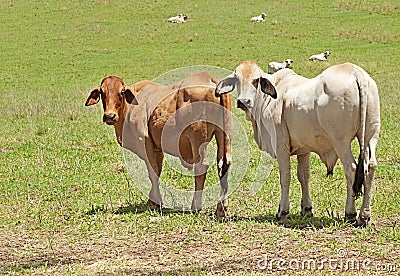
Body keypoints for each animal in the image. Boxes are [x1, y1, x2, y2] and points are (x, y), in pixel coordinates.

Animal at [86, 73, 233, 216]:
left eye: (121, 92)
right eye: (102, 92)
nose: (109, 116)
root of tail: (211, 78)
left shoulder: (145, 142)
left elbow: (153, 173)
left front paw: (154, 203)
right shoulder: (157, 148)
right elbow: (158, 171)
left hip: (197, 139)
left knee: (202, 166)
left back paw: (196, 206)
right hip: (223, 135)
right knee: (223, 165)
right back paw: (221, 209)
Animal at [216, 60, 382, 226]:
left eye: (256, 80)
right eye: (237, 79)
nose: (243, 102)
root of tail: (356, 72)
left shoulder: (281, 147)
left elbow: (285, 178)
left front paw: (283, 211)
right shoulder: (304, 149)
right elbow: (304, 176)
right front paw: (307, 209)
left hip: (341, 141)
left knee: (351, 169)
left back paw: (351, 213)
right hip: (370, 135)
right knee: (370, 166)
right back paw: (364, 215)